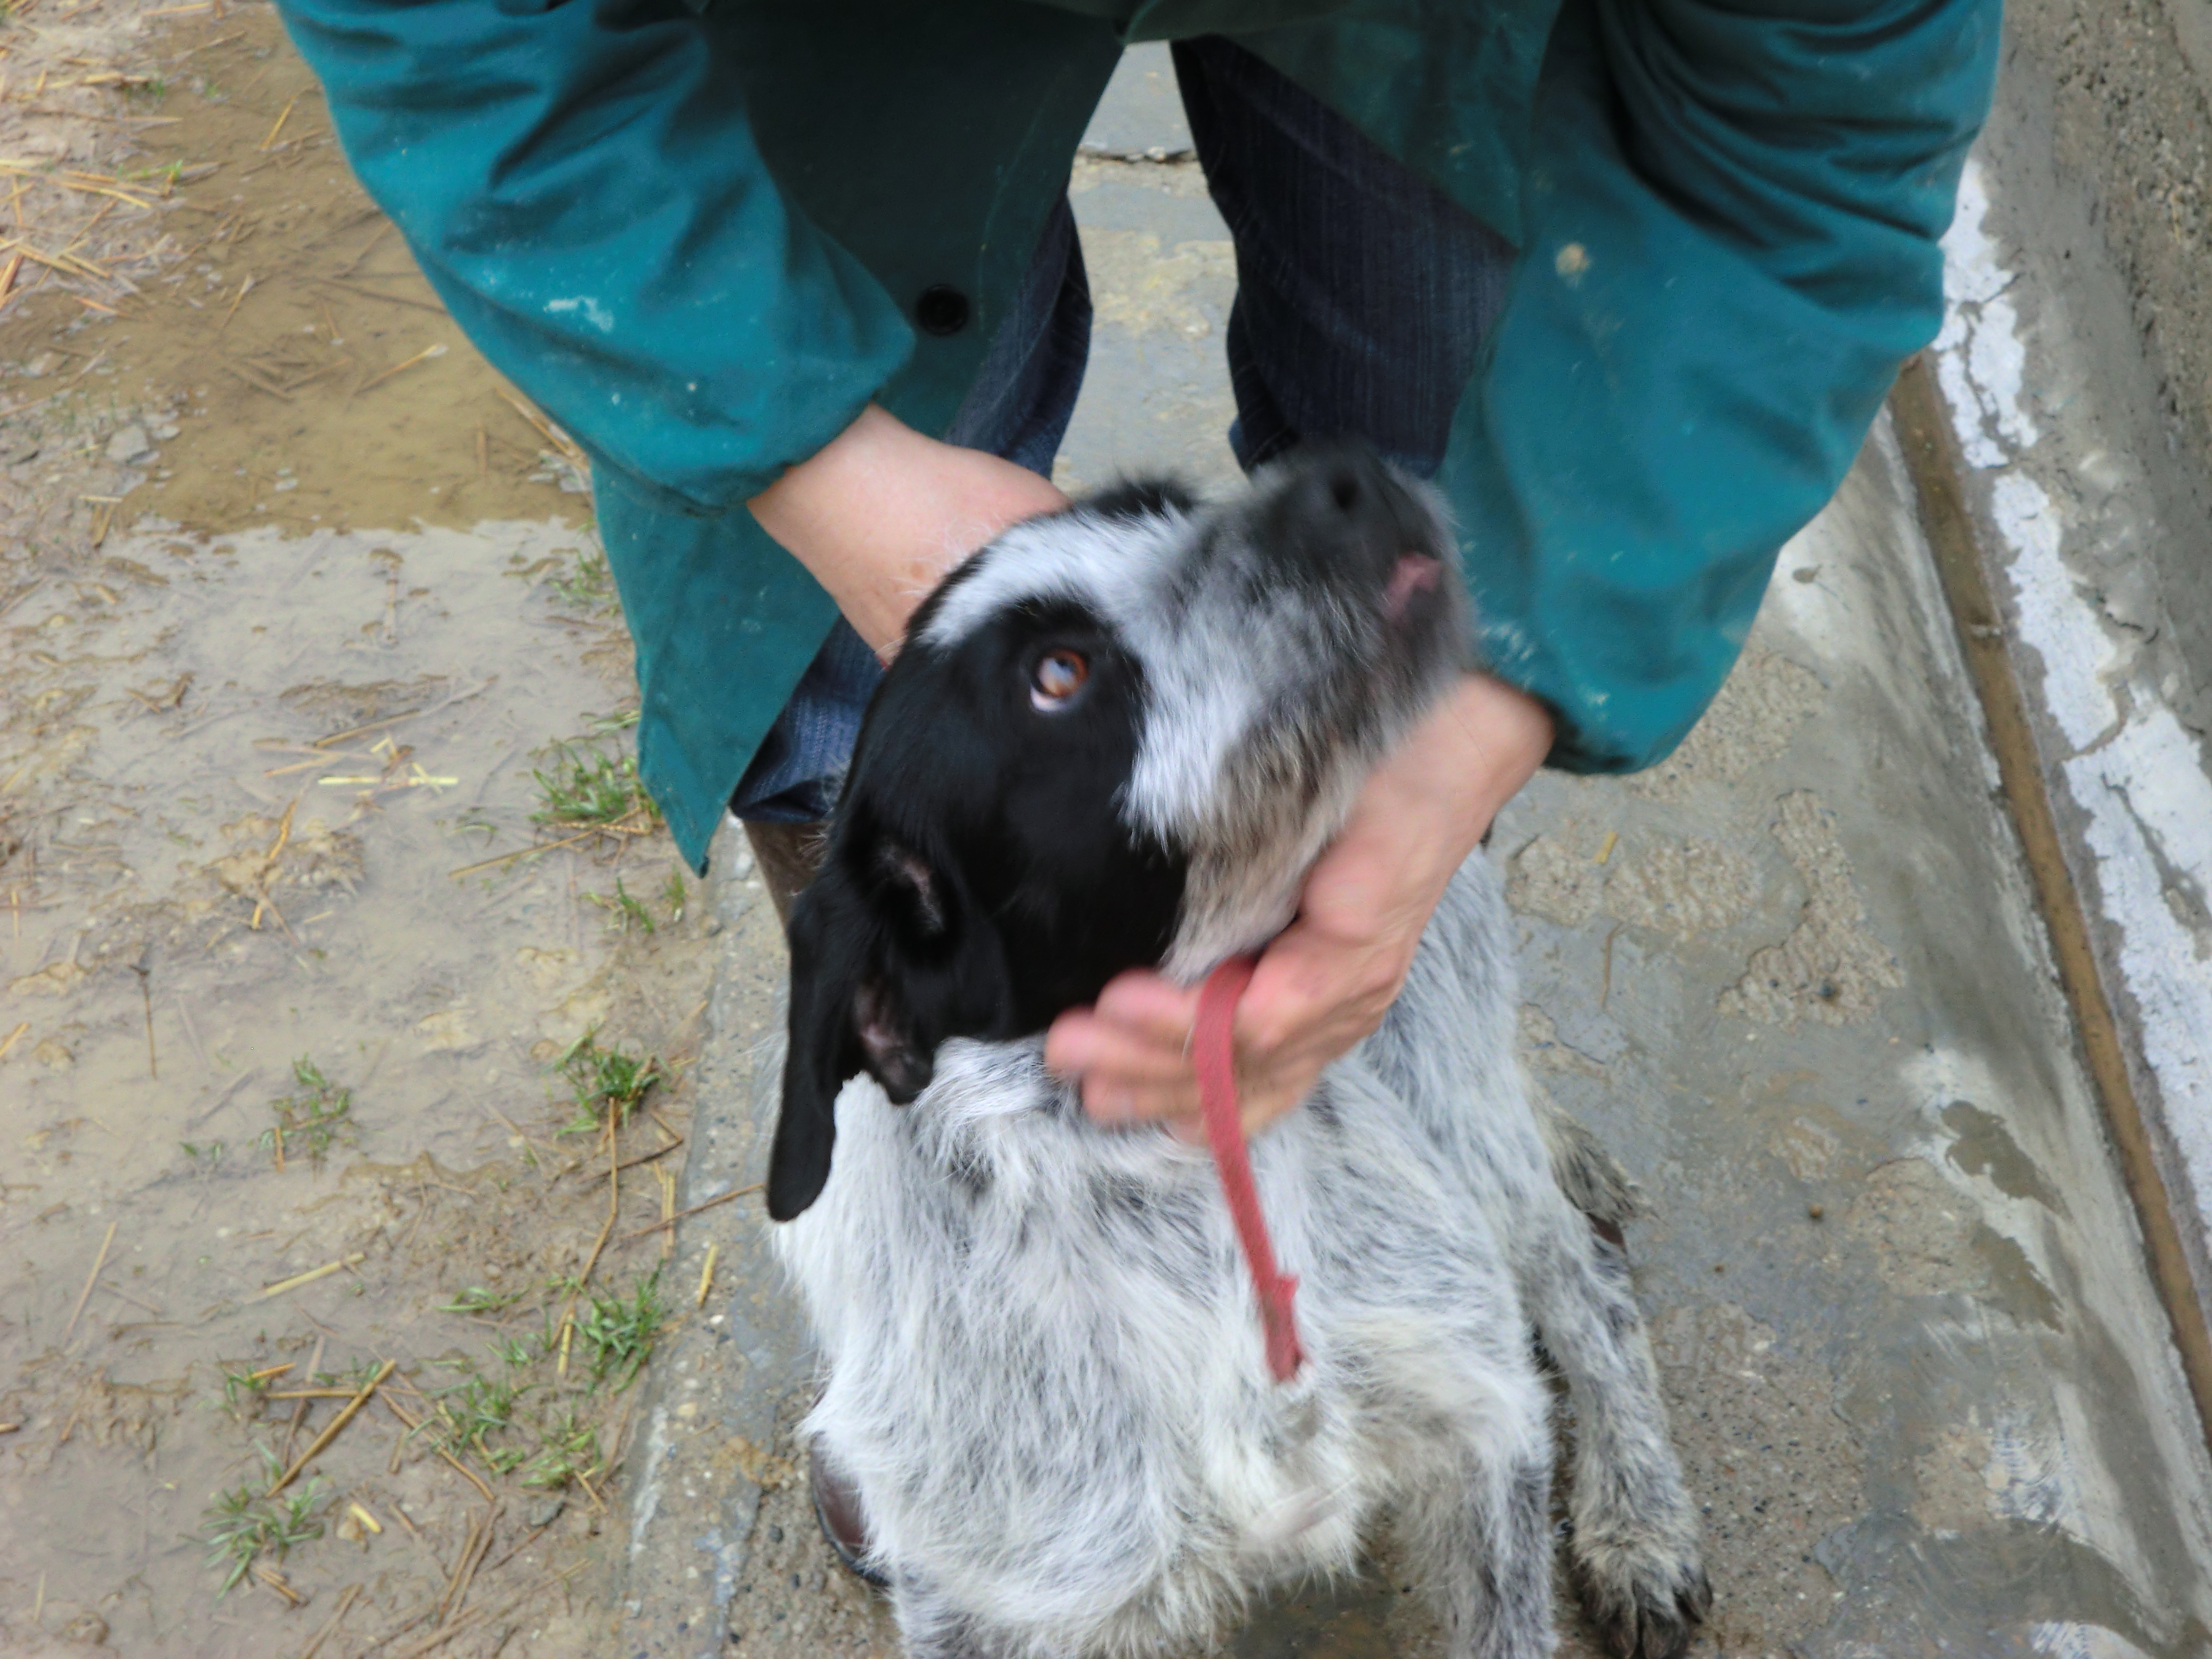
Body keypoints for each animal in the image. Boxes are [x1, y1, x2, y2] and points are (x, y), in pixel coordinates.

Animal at [765, 446, 1710, 1659]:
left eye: (1165, 505)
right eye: (1058, 676)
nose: (1345, 477)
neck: (1175, 1192)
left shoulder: (1486, 1419)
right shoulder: (995, 1601)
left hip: (1458, 1104)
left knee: (1588, 1285)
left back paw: (1641, 1526)